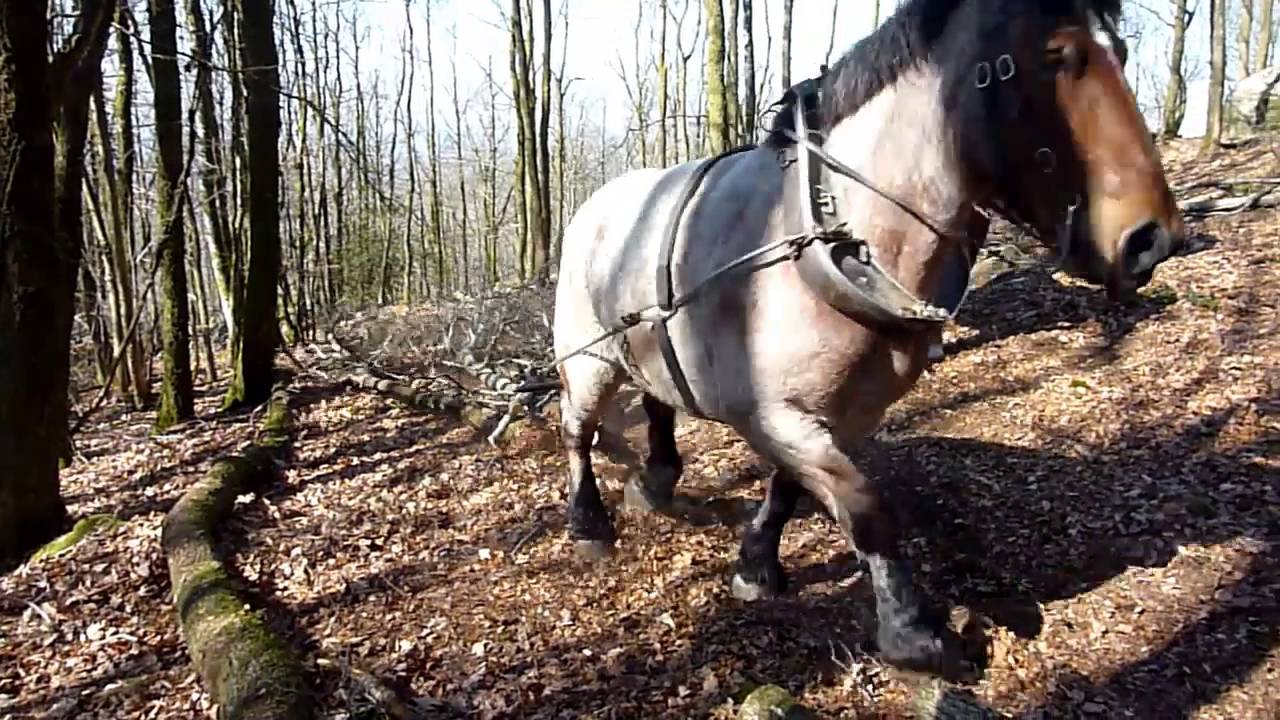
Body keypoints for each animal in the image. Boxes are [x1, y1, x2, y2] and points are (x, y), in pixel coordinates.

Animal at [550, 0, 1184, 678]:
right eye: (1057, 56)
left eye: (1122, 51)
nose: (1152, 239)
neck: (835, 233)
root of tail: (593, 207)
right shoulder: (775, 413)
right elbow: (865, 508)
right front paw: (913, 633)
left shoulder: (841, 412)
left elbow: (790, 487)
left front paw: (757, 564)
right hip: (589, 360)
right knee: (578, 430)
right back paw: (588, 523)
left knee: (657, 401)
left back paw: (656, 479)